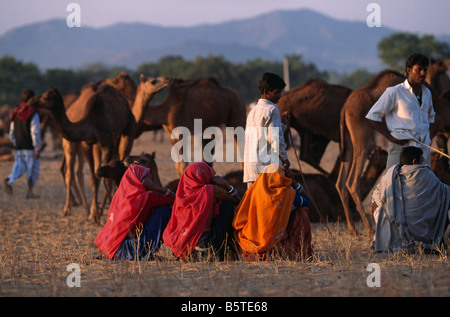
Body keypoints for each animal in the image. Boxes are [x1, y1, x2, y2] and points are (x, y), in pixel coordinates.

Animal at [28, 84, 135, 222]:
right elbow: (93, 178)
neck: (92, 121)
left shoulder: (107, 143)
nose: (31, 101)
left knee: (123, 158)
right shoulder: (87, 144)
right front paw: (94, 214)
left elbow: (107, 180)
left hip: (128, 128)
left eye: (46, 96)